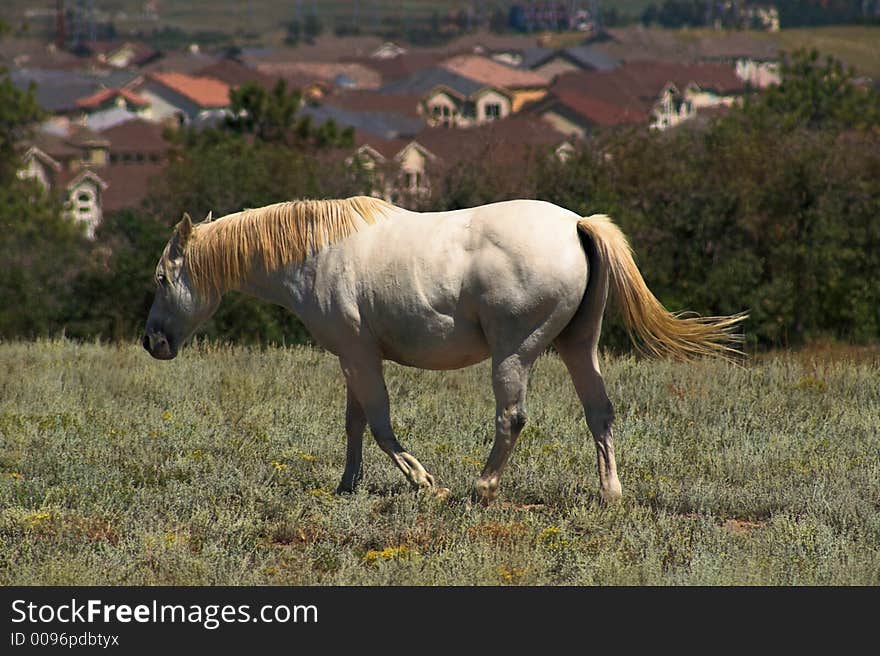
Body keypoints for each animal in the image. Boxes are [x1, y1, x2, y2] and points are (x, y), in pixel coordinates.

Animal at [141, 197, 744, 504]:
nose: (152, 342)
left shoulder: (359, 357)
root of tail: (577, 224)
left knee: (511, 417)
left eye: (163, 278)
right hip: (580, 346)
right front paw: (348, 486)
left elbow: (381, 425)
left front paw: (423, 481)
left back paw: (481, 487)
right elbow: (355, 424)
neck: (317, 252)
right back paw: (610, 492)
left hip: (514, 354)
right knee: (600, 413)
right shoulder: (354, 359)